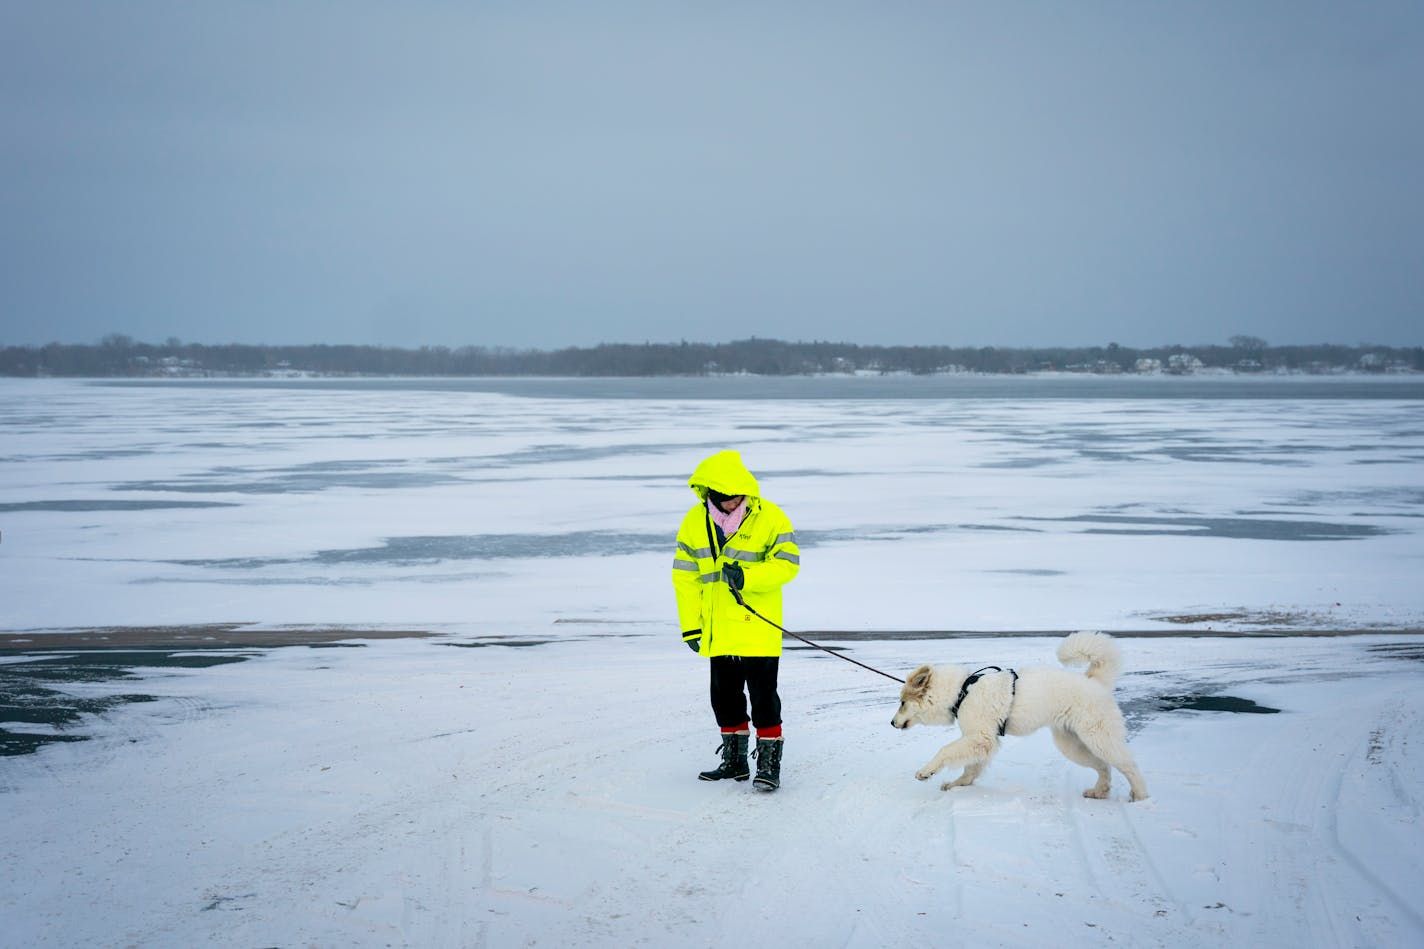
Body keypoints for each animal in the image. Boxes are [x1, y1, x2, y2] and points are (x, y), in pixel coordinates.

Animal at [888, 626, 1144, 797]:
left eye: (902, 702)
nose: (891, 723)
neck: (962, 691)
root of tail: (1094, 681)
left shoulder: (980, 738)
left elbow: (945, 751)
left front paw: (926, 771)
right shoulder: (982, 741)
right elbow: (971, 768)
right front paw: (957, 784)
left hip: (1099, 737)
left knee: (1128, 765)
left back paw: (1140, 796)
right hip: (1072, 744)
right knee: (1103, 766)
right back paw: (1099, 792)